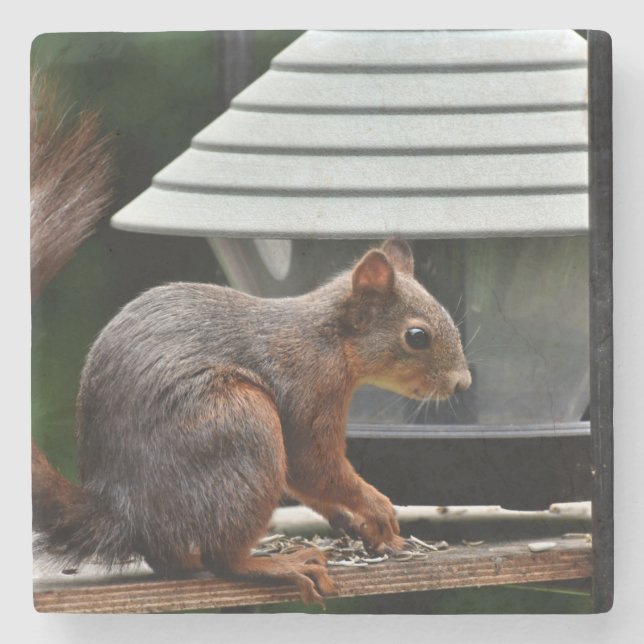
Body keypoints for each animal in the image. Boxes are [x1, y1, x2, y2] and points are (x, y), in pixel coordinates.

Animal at [31, 82, 472, 608]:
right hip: (242, 426)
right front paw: (377, 507)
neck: (330, 341)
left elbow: (307, 481)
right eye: (417, 336)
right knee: (225, 558)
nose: (463, 383)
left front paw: (355, 521)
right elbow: (313, 465)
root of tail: (129, 515)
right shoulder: (307, 392)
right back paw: (278, 564)